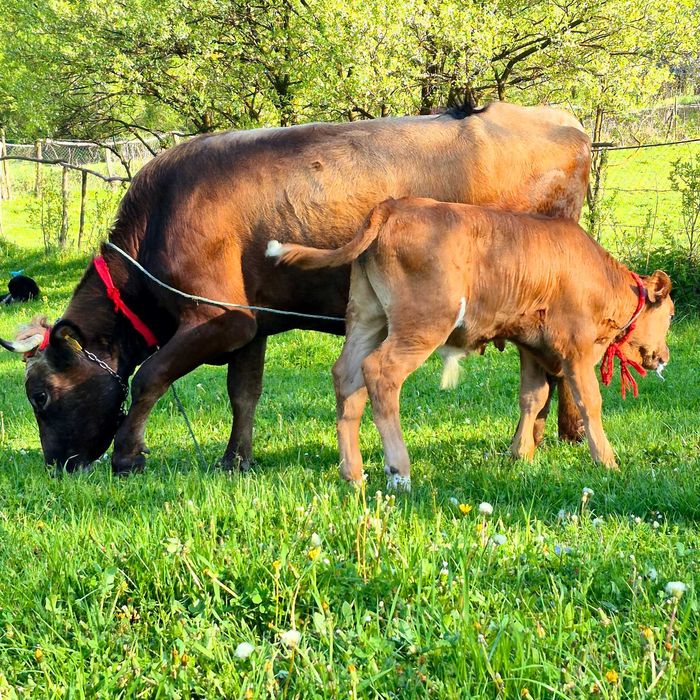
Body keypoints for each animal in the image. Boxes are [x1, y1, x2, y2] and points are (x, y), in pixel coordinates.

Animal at [0, 102, 591, 473]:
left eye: (39, 395)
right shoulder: (249, 324)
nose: (57, 466)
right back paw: (559, 434)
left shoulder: (220, 317)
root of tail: (564, 121)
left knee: (553, 362)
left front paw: (128, 456)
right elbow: (243, 393)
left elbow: (149, 377)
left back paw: (548, 438)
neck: (158, 219)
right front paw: (235, 460)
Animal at [268, 198, 673, 489]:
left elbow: (533, 397)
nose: (664, 356)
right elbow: (590, 403)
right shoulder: (574, 348)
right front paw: (607, 461)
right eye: (670, 315)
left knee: (347, 377)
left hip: (368, 318)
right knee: (380, 373)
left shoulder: (531, 345)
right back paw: (400, 471)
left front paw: (519, 455)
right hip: (423, 323)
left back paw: (352, 474)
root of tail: (395, 205)